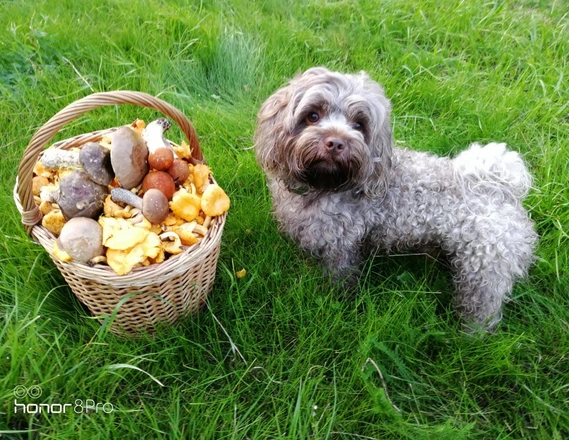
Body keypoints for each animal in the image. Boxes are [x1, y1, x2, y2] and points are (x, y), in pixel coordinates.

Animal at [254, 67, 536, 332]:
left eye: (359, 125)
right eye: (313, 116)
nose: (335, 143)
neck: (325, 185)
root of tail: (499, 187)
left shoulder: (340, 248)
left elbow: (341, 280)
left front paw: (338, 301)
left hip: (484, 272)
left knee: (483, 309)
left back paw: (470, 336)